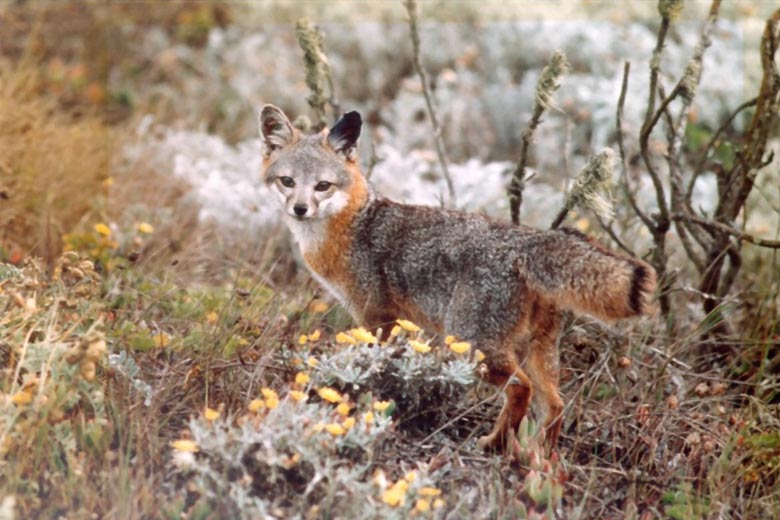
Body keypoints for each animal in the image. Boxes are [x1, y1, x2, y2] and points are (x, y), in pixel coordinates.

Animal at [258, 104, 656, 450]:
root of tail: (527, 239)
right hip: (536, 351)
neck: (354, 225)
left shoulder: (376, 318)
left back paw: (495, 444)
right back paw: (541, 460)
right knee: (555, 404)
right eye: (287, 181)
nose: (300, 208)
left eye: (322, 186)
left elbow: (374, 365)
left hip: (474, 346)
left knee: (521, 389)